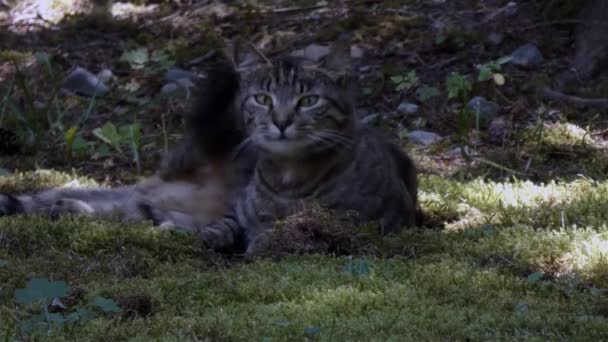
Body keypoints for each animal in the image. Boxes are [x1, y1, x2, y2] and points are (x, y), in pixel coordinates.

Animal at [0, 39, 418, 254]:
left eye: (308, 101)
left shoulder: (366, 225)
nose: (281, 121)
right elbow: (232, 228)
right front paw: (212, 234)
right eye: (263, 99)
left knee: (130, 211)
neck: (287, 176)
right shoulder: (239, 213)